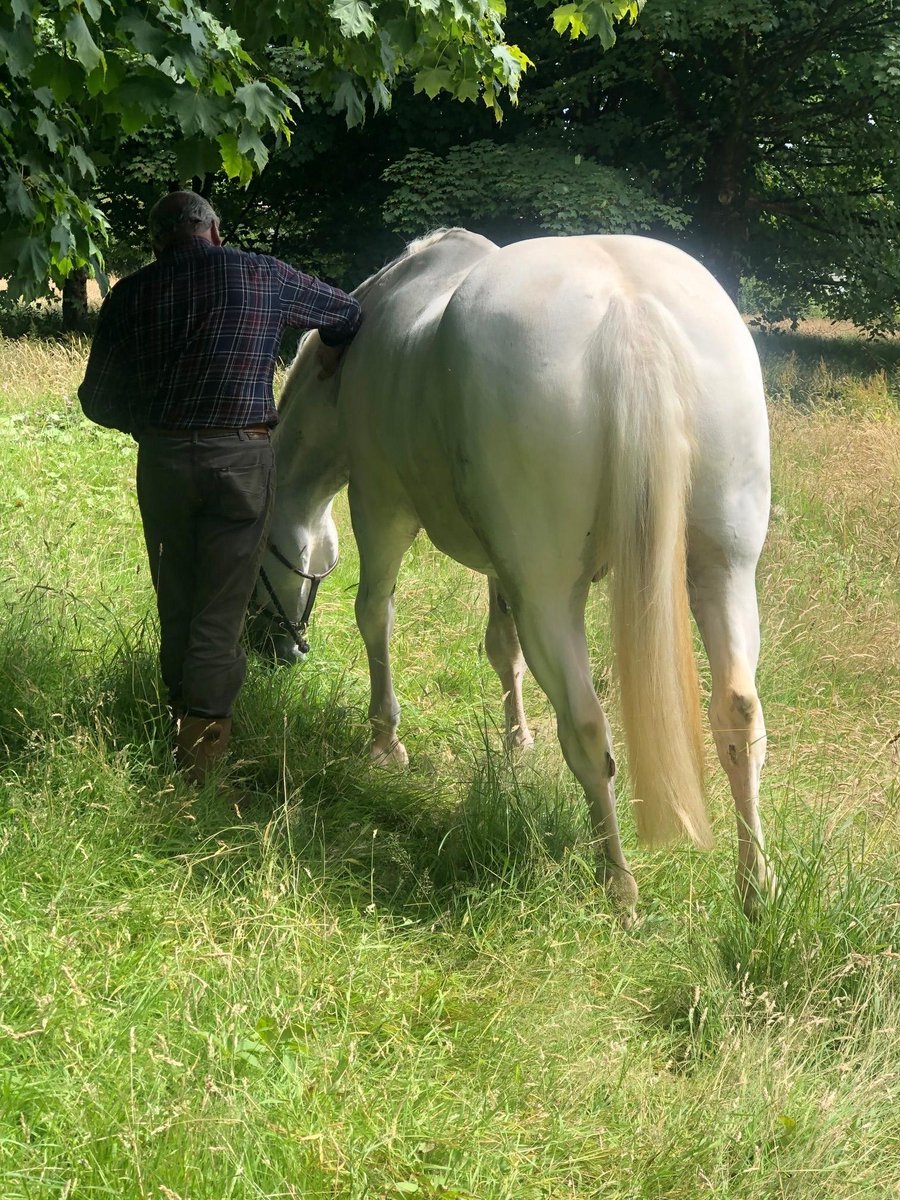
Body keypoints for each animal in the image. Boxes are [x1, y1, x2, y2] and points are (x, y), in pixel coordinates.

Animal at [252, 229, 775, 918]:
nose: (275, 651)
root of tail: (628, 311)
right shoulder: (503, 567)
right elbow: (503, 649)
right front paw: (516, 741)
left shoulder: (380, 508)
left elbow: (375, 615)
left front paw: (386, 742)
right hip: (723, 570)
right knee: (738, 712)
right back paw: (755, 887)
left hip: (550, 595)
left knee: (587, 728)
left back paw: (620, 888)